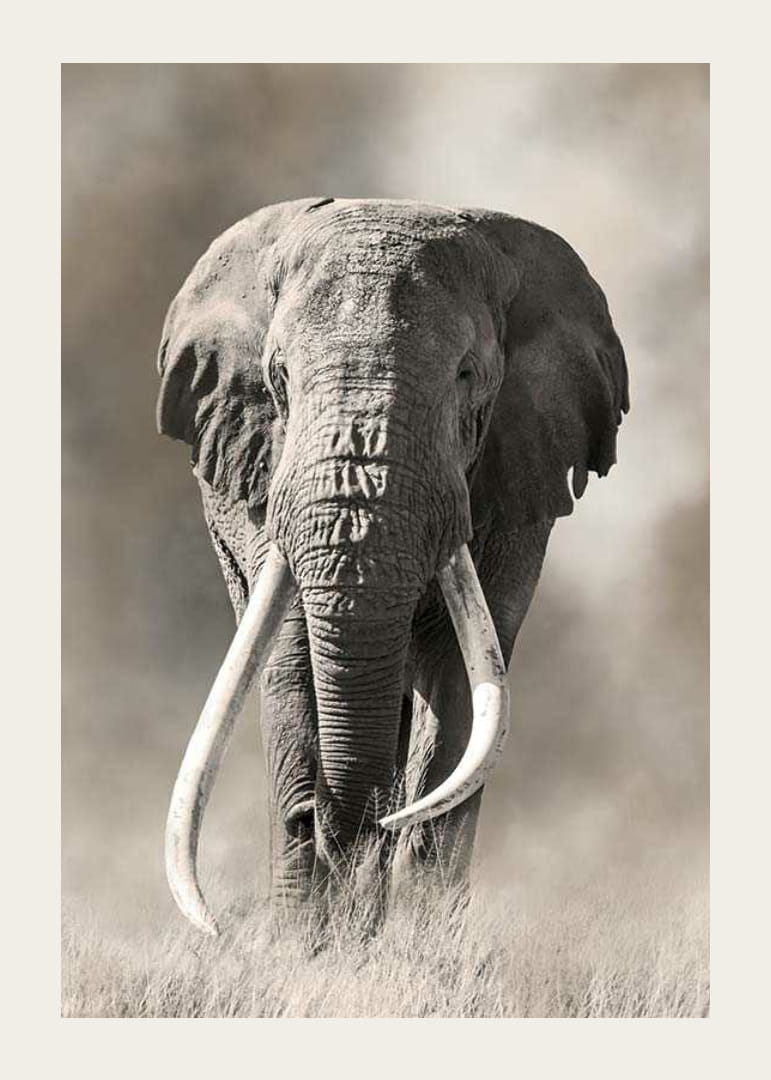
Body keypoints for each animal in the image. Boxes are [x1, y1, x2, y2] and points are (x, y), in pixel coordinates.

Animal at [157, 197, 628, 936]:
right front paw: (306, 939)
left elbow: (463, 682)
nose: (321, 820)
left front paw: (417, 937)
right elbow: (291, 658)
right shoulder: (264, 476)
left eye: (467, 377)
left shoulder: (515, 477)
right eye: (279, 379)